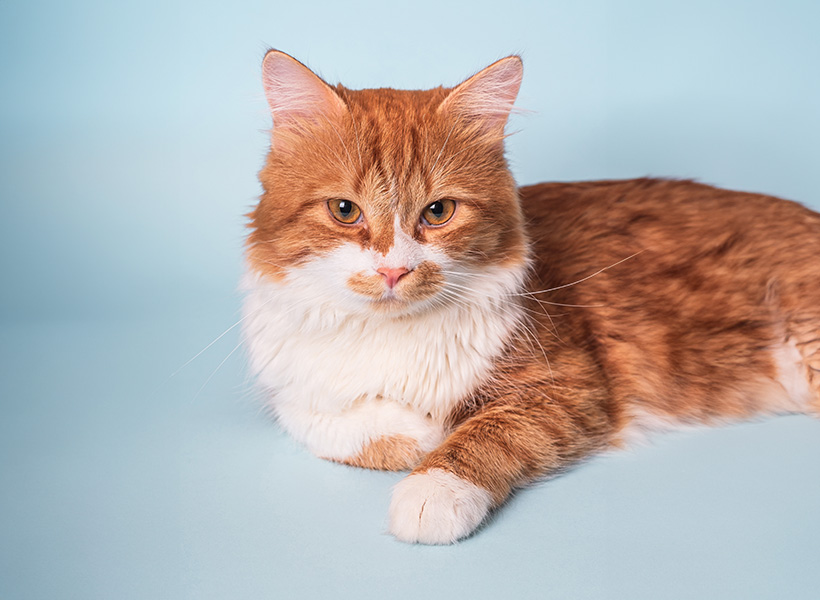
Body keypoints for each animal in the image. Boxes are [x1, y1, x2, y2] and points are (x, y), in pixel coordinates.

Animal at [243, 48, 820, 544]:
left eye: (438, 212)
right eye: (344, 210)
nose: (393, 271)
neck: (390, 334)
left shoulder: (571, 386)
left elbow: (485, 433)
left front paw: (433, 484)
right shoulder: (290, 388)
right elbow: (323, 423)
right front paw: (422, 431)